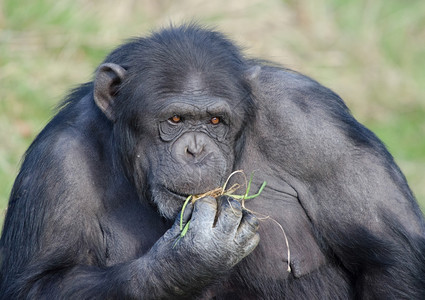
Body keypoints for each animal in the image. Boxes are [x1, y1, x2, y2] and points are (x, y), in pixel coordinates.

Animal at [0, 24, 424, 298]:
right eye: (175, 120)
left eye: (216, 121)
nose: (195, 150)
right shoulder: (57, 162)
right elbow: (38, 282)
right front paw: (191, 258)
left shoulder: (319, 125)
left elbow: (390, 258)